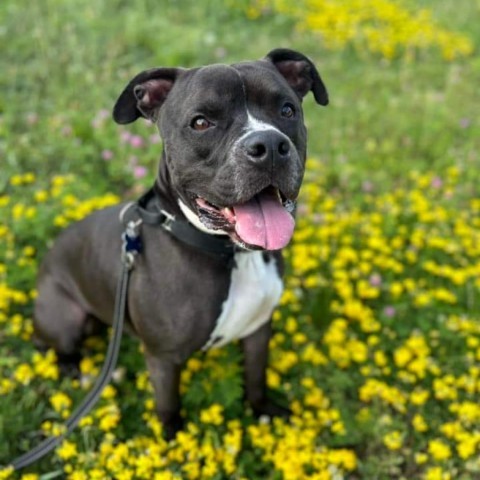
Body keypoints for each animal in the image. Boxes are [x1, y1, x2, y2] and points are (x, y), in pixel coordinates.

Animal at [32, 49, 326, 438]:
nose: (269, 146)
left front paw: (263, 412)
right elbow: (169, 406)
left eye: (287, 110)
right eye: (201, 123)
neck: (233, 255)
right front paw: (171, 440)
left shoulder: (258, 329)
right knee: (57, 346)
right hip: (64, 318)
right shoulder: (164, 358)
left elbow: (256, 378)